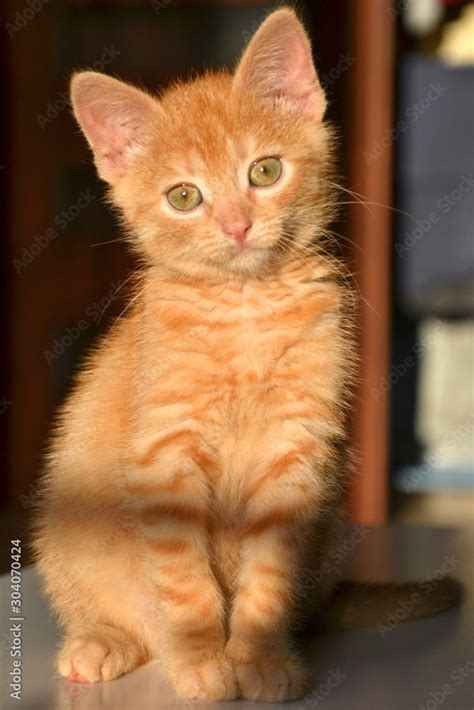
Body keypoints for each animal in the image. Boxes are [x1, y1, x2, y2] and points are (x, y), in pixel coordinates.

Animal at [30, 6, 460, 708]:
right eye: (183, 197)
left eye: (264, 172)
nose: (236, 226)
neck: (246, 308)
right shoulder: (165, 454)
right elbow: (183, 582)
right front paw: (203, 658)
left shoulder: (298, 450)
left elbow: (270, 575)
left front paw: (259, 658)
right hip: (67, 534)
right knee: (111, 609)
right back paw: (102, 639)